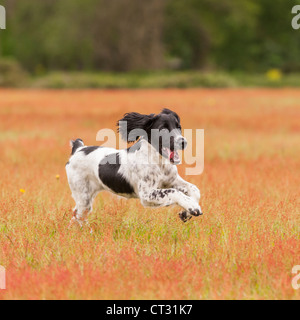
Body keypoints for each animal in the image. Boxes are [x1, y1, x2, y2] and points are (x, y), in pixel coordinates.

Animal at [65, 109, 202, 226]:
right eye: (163, 129)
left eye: (178, 127)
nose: (183, 142)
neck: (158, 162)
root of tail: (78, 148)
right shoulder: (146, 195)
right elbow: (174, 192)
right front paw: (192, 207)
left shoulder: (171, 181)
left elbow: (194, 189)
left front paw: (186, 212)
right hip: (83, 196)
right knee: (77, 216)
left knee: (77, 216)